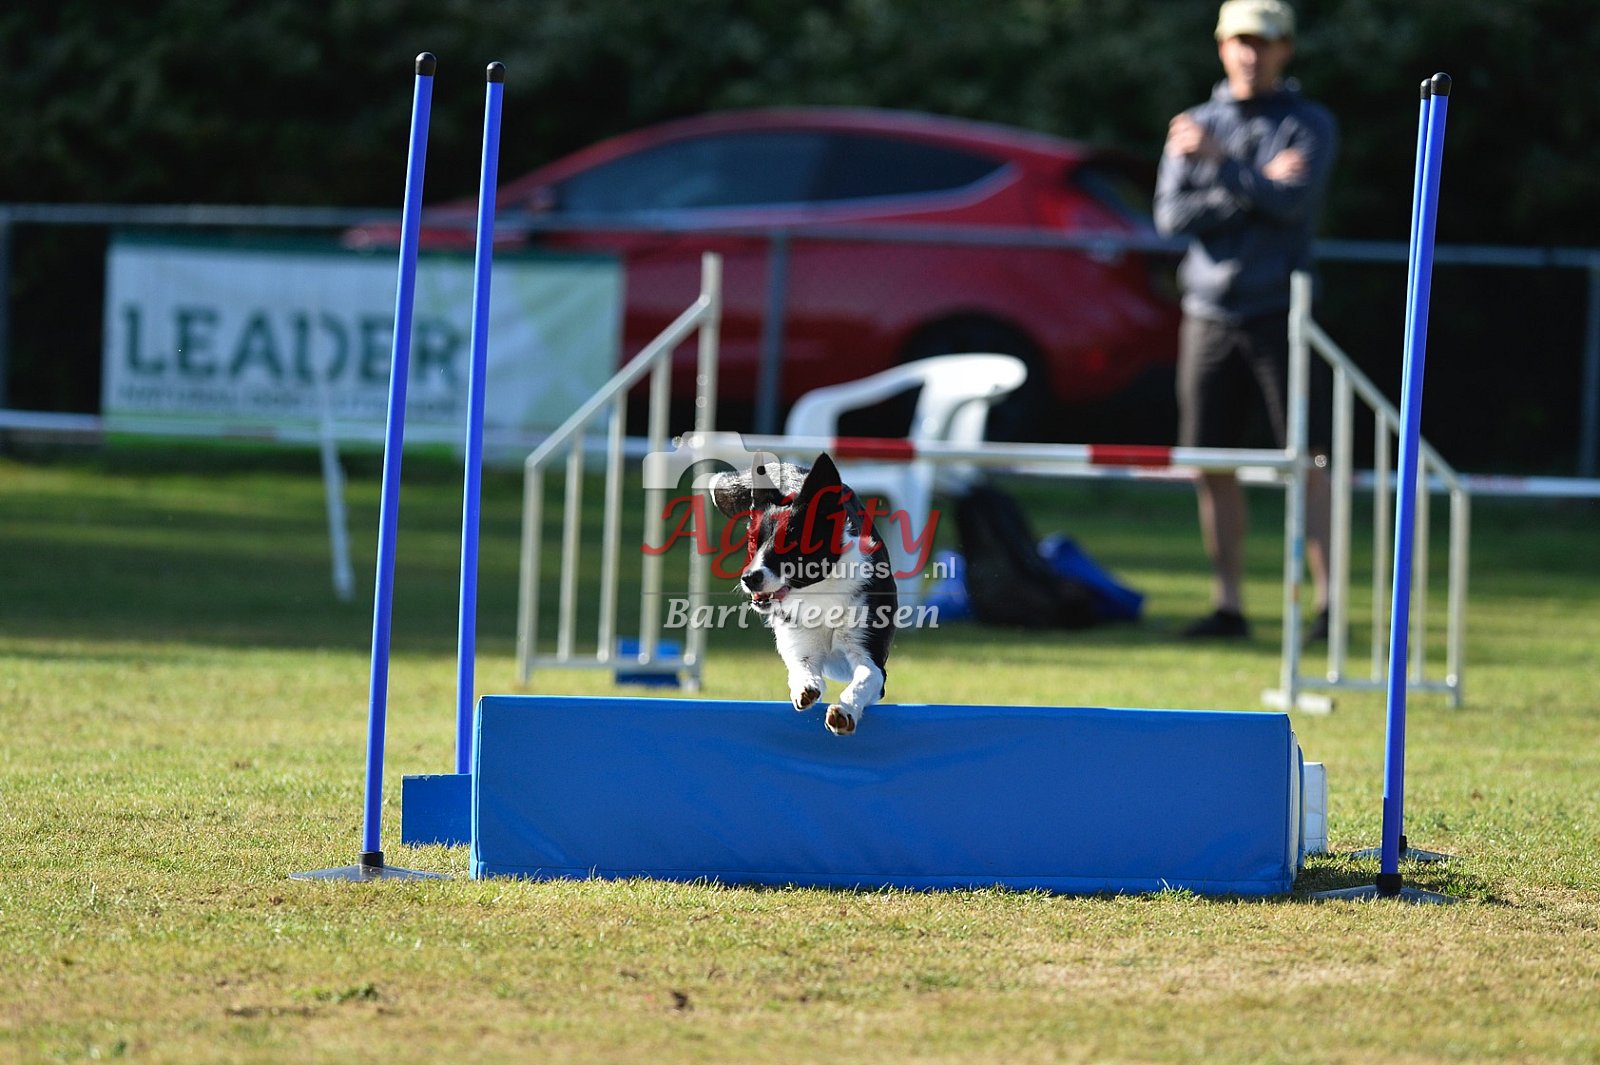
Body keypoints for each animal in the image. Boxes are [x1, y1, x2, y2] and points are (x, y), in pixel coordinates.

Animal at [708, 453, 896, 735]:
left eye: (790, 545)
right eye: (752, 542)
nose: (749, 579)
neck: (820, 594)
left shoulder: (870, 654)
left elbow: (864, 679)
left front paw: (845, 712)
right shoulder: (800, 643)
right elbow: (802, 668)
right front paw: (806, 687)